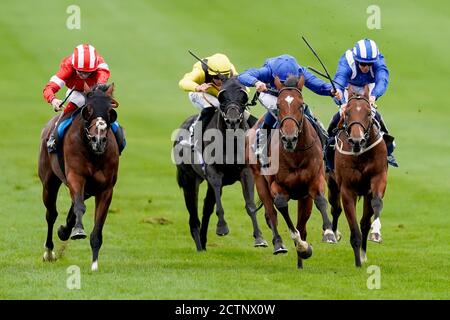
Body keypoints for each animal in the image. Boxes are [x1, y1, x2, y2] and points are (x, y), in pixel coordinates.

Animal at [39, 82, 119, 270]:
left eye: (110, 111)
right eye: (87, 110)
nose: (99, 140)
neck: (94, 153)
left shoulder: (106, 189)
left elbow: (98, 226)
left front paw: (95, 264)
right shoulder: (76, 177)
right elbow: (79, 207)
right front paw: (78, 231)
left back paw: (64, 230)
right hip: (49, 183)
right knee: (51, 214)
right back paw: (49, 252)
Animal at [173, 76, 268, 251]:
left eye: (243, 97)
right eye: (222, 97)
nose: (232, 119)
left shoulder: (246, 171)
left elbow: (250, 204)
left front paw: (259, 238)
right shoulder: (213, 172)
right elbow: (217, 201)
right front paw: (222, 227)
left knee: (206, 208)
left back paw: (203, 242)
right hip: (189, 178)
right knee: (193, 215)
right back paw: (199, 245)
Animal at [246, 75, 338, 268]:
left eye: (301, 105)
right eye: (278, 105)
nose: (289, 138)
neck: (295, 154)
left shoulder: (314, 180)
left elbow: (320, 200)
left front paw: (329, 233)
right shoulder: (277, 185)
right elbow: (281, 206)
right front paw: (301, 245)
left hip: (303, 197)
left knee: (302, 223)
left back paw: (301, 260)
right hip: (259, 180)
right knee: (271, 213)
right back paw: (280, 244)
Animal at [326, 85, 388, 268]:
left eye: (368, 113)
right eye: (347, 113)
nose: (356, 141)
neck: (360, 154)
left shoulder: (378, 178)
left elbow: (377, 203)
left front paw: (376, 233)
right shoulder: (347, 189)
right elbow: (354, 230)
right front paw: (358, 263)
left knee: (364, 222)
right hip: (332, 184)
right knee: (335, 209)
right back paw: (333, 234)